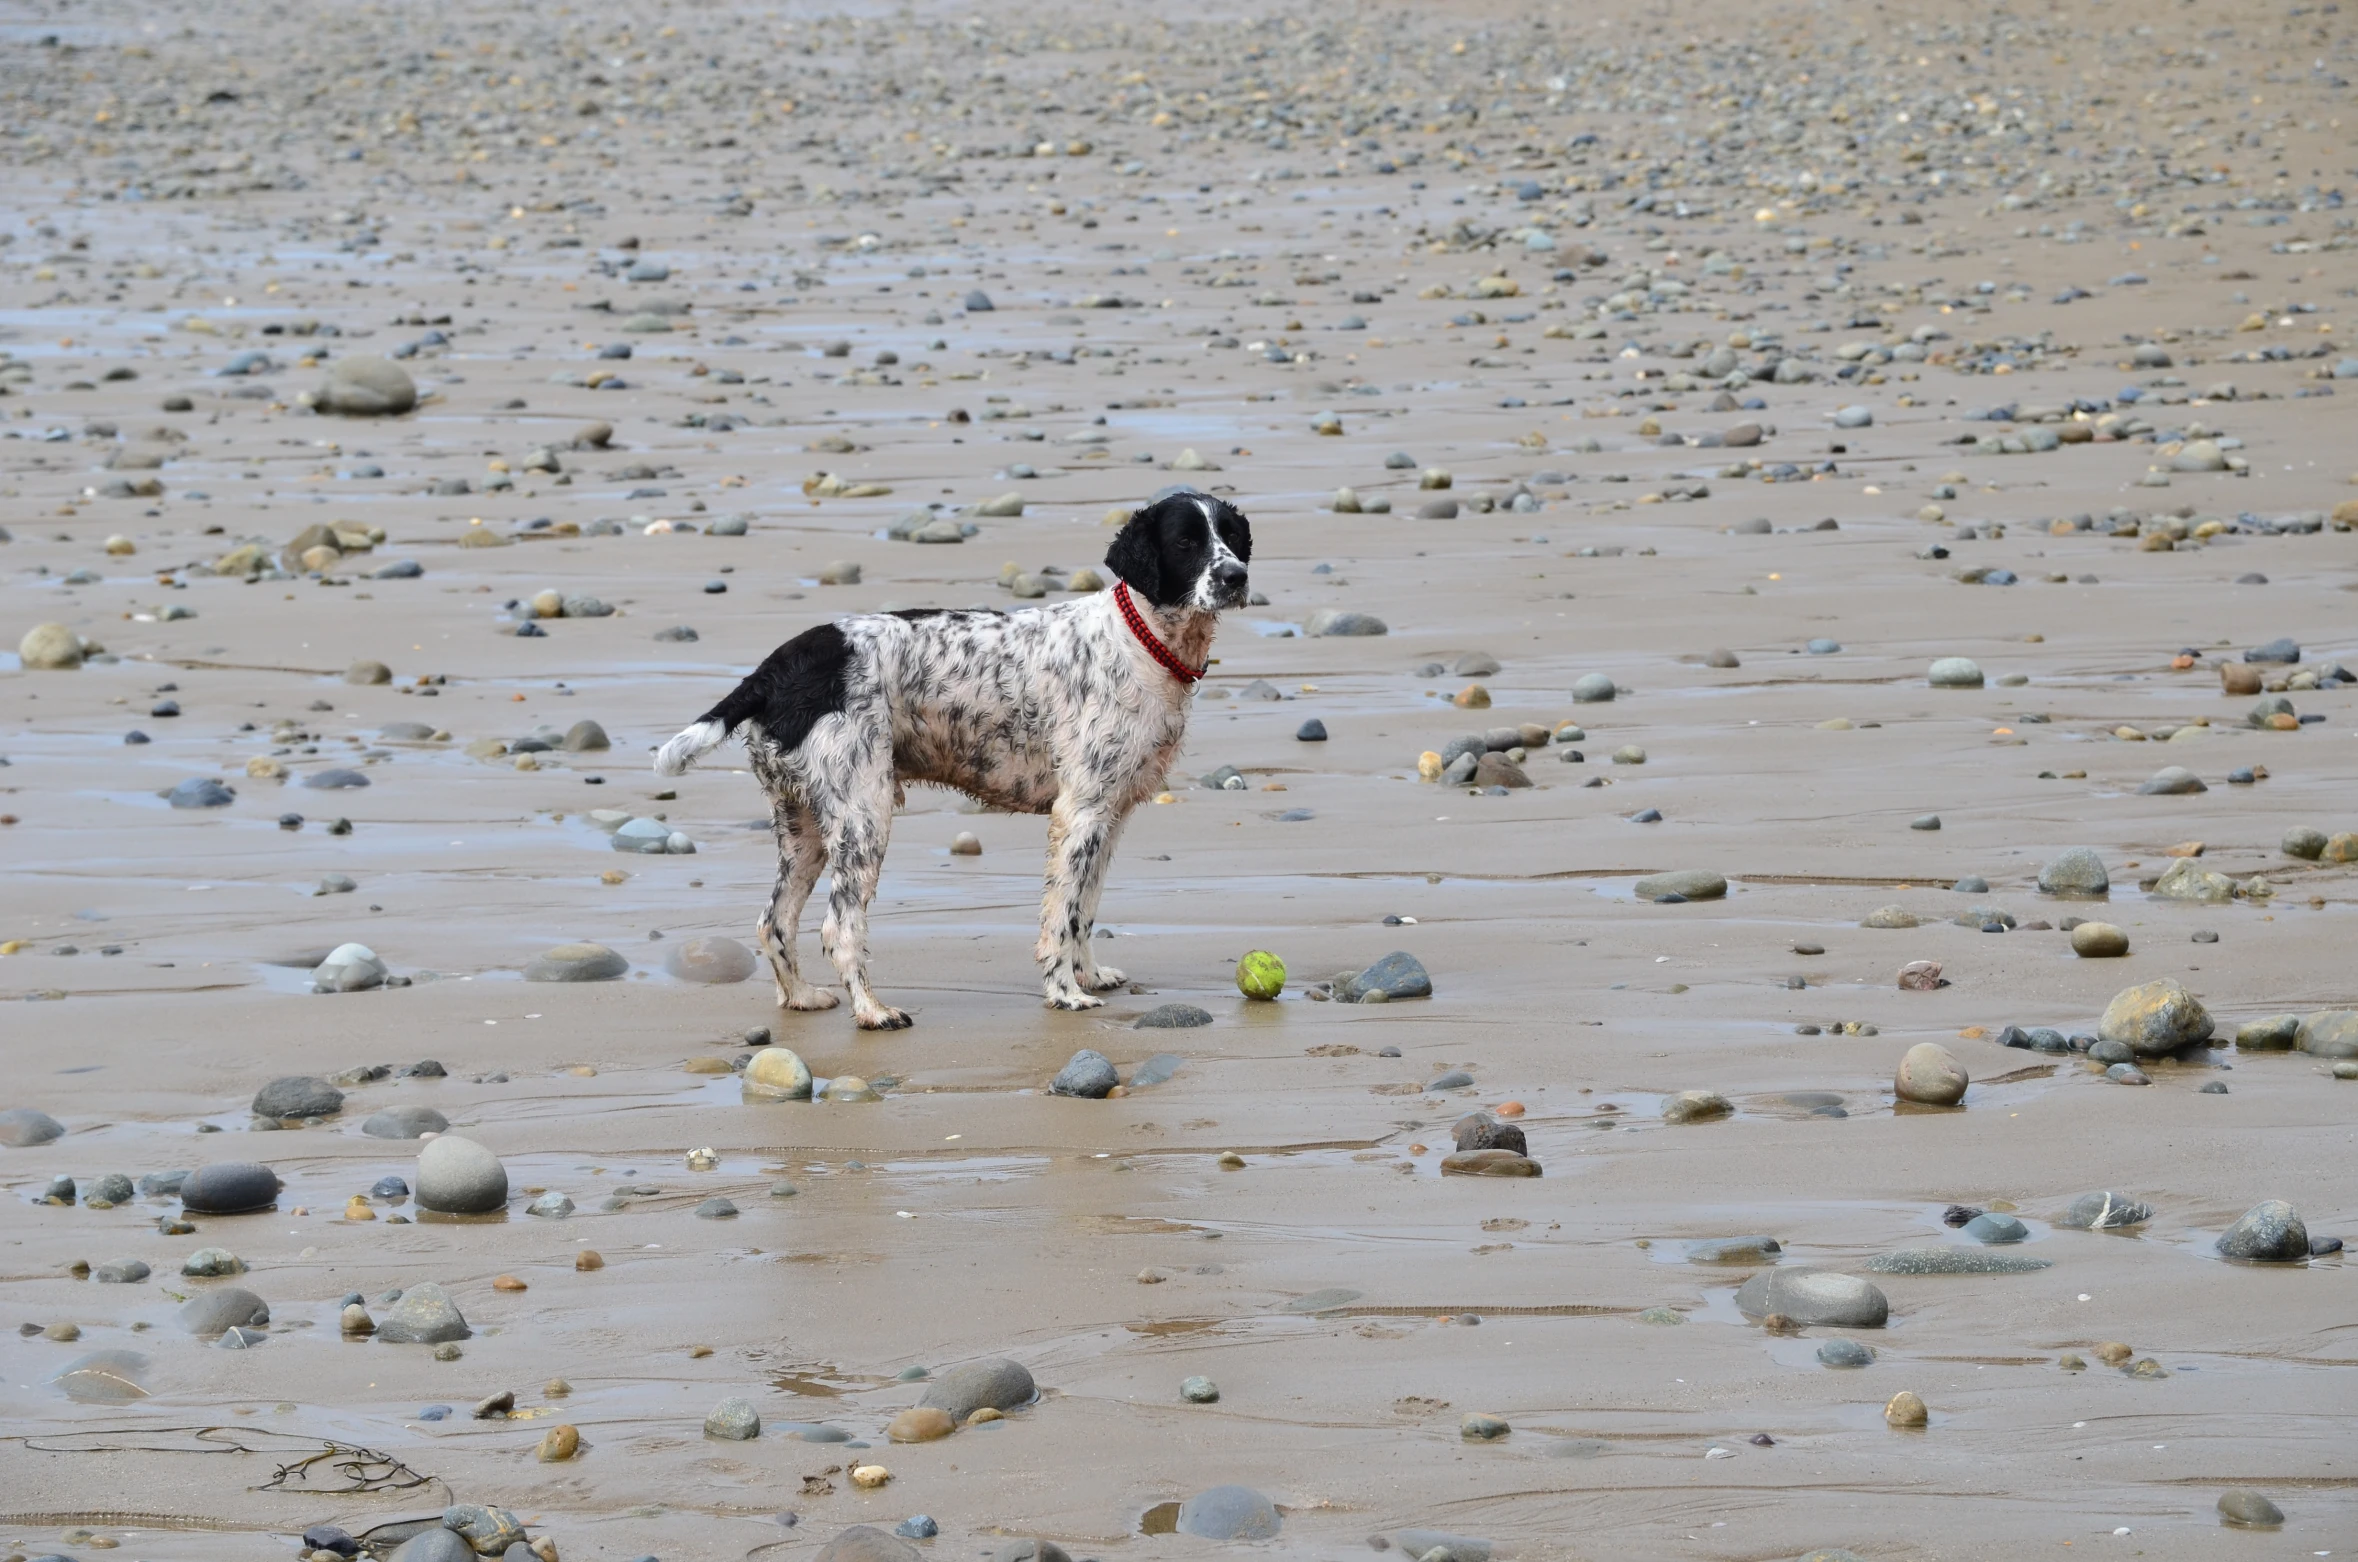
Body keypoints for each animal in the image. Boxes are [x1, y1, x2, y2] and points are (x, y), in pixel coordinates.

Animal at [655, 490, 1254, 1028]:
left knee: (774, 921)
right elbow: (1061, 918)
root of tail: (774, 670)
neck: (1138, 639)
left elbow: (1084, 910)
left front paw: (1089, 975)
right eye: (1186, 542)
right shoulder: (1080, 813)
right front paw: (1064, 992)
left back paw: (801, 996)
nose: (1236, 576)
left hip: (804, 826)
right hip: (863, 819)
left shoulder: (1110, 816)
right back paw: (872, 1011)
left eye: (1232, 536)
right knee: (838, 928)